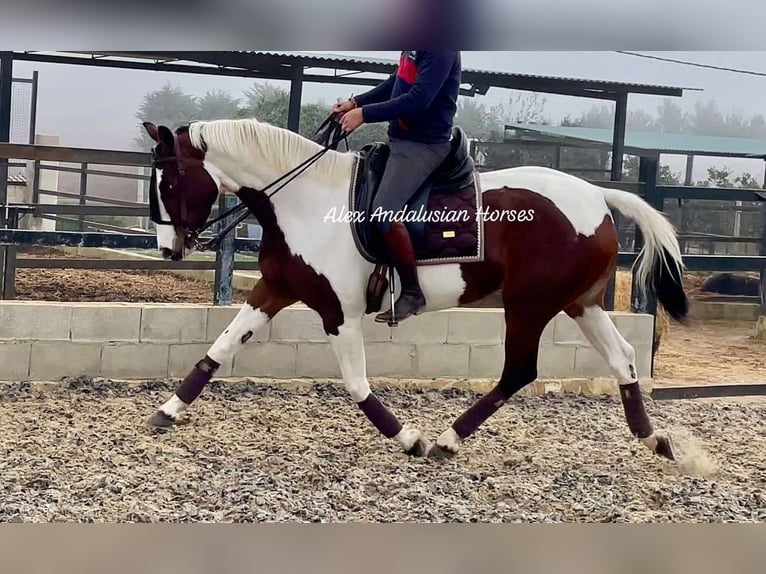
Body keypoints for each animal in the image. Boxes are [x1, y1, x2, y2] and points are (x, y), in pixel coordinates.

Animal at [142, 118, 688, 464]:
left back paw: (446, 440)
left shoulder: (338, 313)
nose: (169, 249)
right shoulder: (274, 290)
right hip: (580, 303)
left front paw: (409, 439)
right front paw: (166, 412)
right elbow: (219, 349)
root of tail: (596, 194)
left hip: (529, 304)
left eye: (168, 183)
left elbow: (357, 384)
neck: (304, 200)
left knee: (518, 372)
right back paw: (655, 439)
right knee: (622, 358)